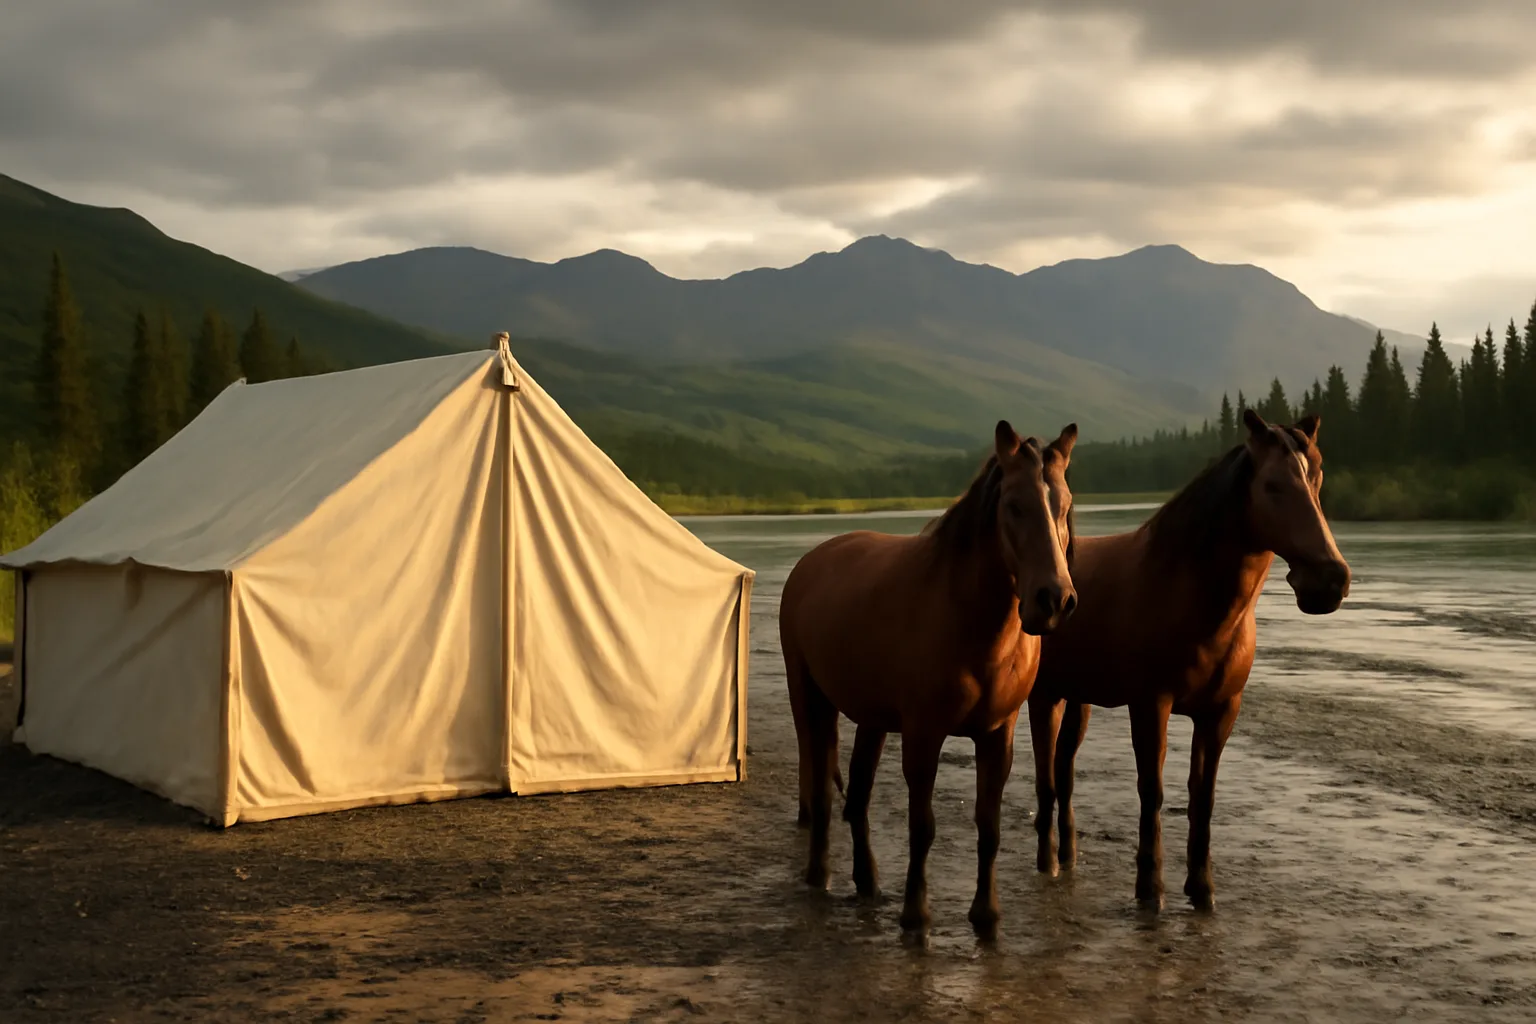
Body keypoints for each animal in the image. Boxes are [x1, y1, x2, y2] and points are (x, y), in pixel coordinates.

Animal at [779, 420, 1079, 939]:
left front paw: (986, 914)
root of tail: (810, 562)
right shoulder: (923, 735)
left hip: (872, 720)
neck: (969, 625)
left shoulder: (997, 736)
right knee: (821, 792)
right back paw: (820, 876)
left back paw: (867, 882)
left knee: (857, 797)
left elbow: (989, 827)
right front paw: (915, 915)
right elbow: (922, 827)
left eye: (1066, 506)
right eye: (1014, 505)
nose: (1054, 600)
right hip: (811, 702)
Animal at [1027, 409, 1350, 911]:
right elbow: (1152, 792)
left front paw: (1202, 889)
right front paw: (1150, 891)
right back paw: (1050, 864)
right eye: (1273, 485)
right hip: (1045, 698)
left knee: (1063, 775)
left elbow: (1203, 796)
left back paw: (1070, 856)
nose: (1330, 581)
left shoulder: (1219, 713)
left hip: (1078, 700)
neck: (1190, 597)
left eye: (1317, 479)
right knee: (1045, 780)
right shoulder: (1150, 706)